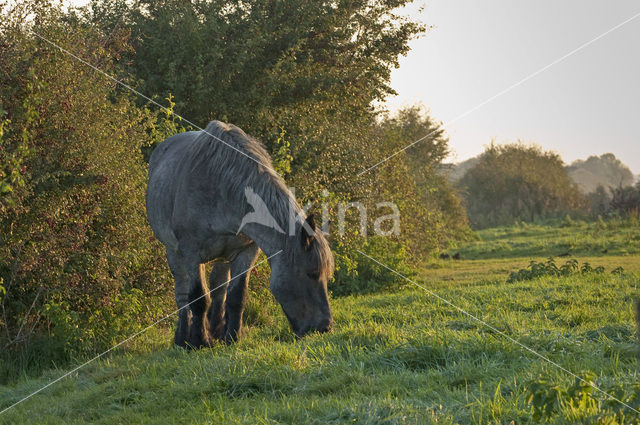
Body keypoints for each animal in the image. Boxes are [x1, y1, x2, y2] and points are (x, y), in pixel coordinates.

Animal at [146, 120, 336, 348]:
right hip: (173, 252)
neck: (222, 186)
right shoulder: (191, 252)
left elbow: (237, 295)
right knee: (182, 293)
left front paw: (232, 336)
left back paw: (217, 331)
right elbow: (199, 298)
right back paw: (183, 338)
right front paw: (199, 341)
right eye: (312, 273)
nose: (325, 327)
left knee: (219, 288)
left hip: (223, 256)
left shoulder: (246, 251)